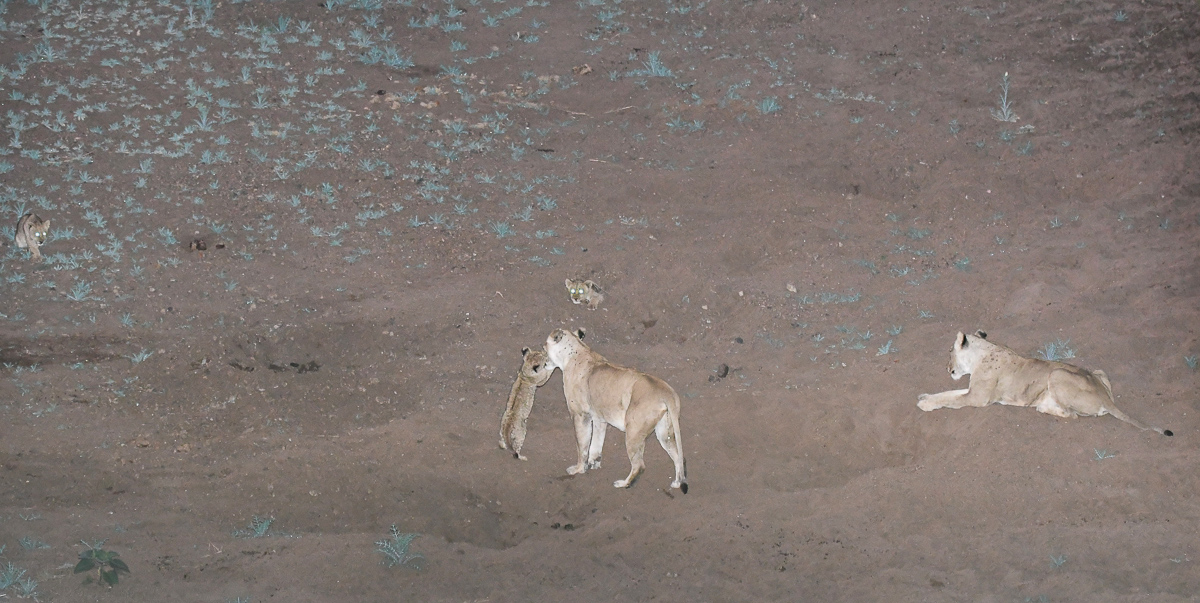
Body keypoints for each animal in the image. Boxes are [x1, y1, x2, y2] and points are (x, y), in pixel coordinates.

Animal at [544, 328, 688, 492]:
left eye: (544, 348)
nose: (544, 362)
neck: (577, 351)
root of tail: (666, 392)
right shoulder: (599, 418)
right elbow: (596, 443)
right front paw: (594, 462)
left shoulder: (580, 415)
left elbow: (582, 445)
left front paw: (579, 469)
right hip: (664, 432)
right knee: (678, 456)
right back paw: (677, 482)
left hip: (633, 431)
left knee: (639, 465)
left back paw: (623, 484)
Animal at [918, 331, 1173, 436]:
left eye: (949, 352)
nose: (947, 368)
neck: (985, 351)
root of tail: (1103, 395)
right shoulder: (973, 391)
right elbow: (949, 393)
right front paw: (925, 397)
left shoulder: (977, 398)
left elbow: (950, 398)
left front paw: (924, 403)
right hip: (1099, 372)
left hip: (1056, 374)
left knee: (1072, 415)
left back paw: (1044, 407)